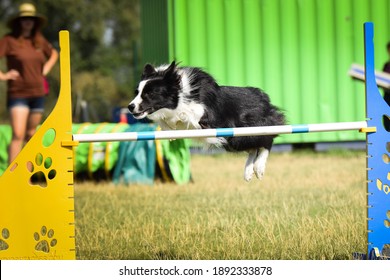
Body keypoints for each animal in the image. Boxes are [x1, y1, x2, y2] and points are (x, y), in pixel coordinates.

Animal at [129, 61, 284, 182]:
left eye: (149, 93)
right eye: (137, 92)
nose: (130, 107)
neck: (178, 92)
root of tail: (264, 98)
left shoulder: (206, 114)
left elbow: (187, 113)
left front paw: (179, 117)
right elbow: (166, 122)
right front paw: (169, 129)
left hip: (243, 134)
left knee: (267, 141)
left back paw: (259, 168)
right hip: (233, 140)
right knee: (254, 148)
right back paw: (248, 172)